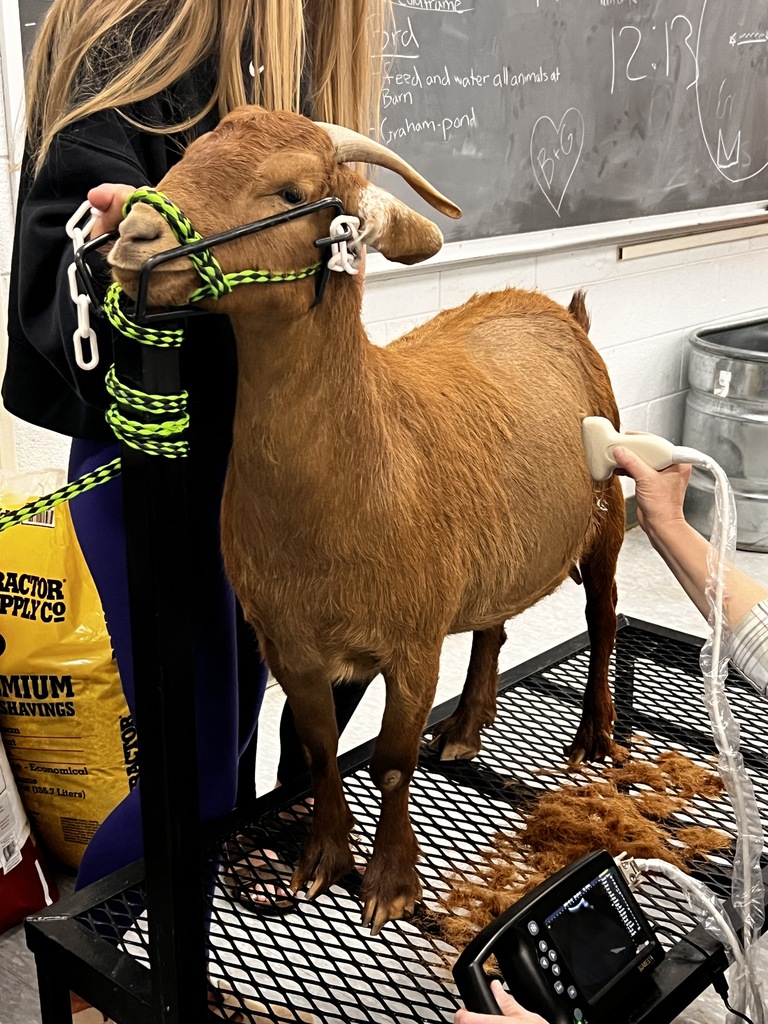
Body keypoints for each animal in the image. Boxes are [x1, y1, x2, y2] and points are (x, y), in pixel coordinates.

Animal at [109, 106, 625, 934]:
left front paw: (390, 882)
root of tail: (556, 309)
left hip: (609, 516)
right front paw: (321, 859)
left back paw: (594, 735)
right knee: (494, 625)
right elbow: (320, 750)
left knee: (604, 618)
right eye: (187, 157)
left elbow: (388, 763)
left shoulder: (412, 646)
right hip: (496, 552)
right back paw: (466, 726)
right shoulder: (289, 645)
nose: (133, 238)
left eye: (290, 190)